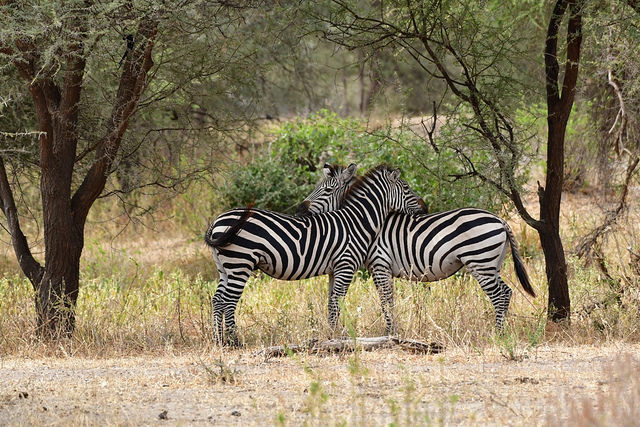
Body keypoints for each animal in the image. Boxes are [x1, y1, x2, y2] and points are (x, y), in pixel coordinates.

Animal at [204, 166, 424, 346]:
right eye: (406, 188)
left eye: (326, 190)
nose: (425, 207)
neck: (354, 221)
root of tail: (216, 222)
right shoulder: (346, 265)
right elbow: (336, 302)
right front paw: (334, 337)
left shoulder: (335, 270)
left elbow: (331, 302)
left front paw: (332, 334)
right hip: (240, 262)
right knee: (229, 301)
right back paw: (235, 342)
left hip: (224, 267)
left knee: (218, 299)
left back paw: (219, 340)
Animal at [298, 164, 536, 334]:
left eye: (326, 190)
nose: (301, 208)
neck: (363, 221)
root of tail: (500, 220)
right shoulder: (380, 267)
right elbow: (387, 299)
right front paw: (392, 330)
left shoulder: (380, 263)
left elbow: (386, 301)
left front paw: (390, 333)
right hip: (492, 264)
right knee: (506, 292)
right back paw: (501, 331)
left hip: (480, 261)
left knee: (499, 295)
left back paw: (498, 334)